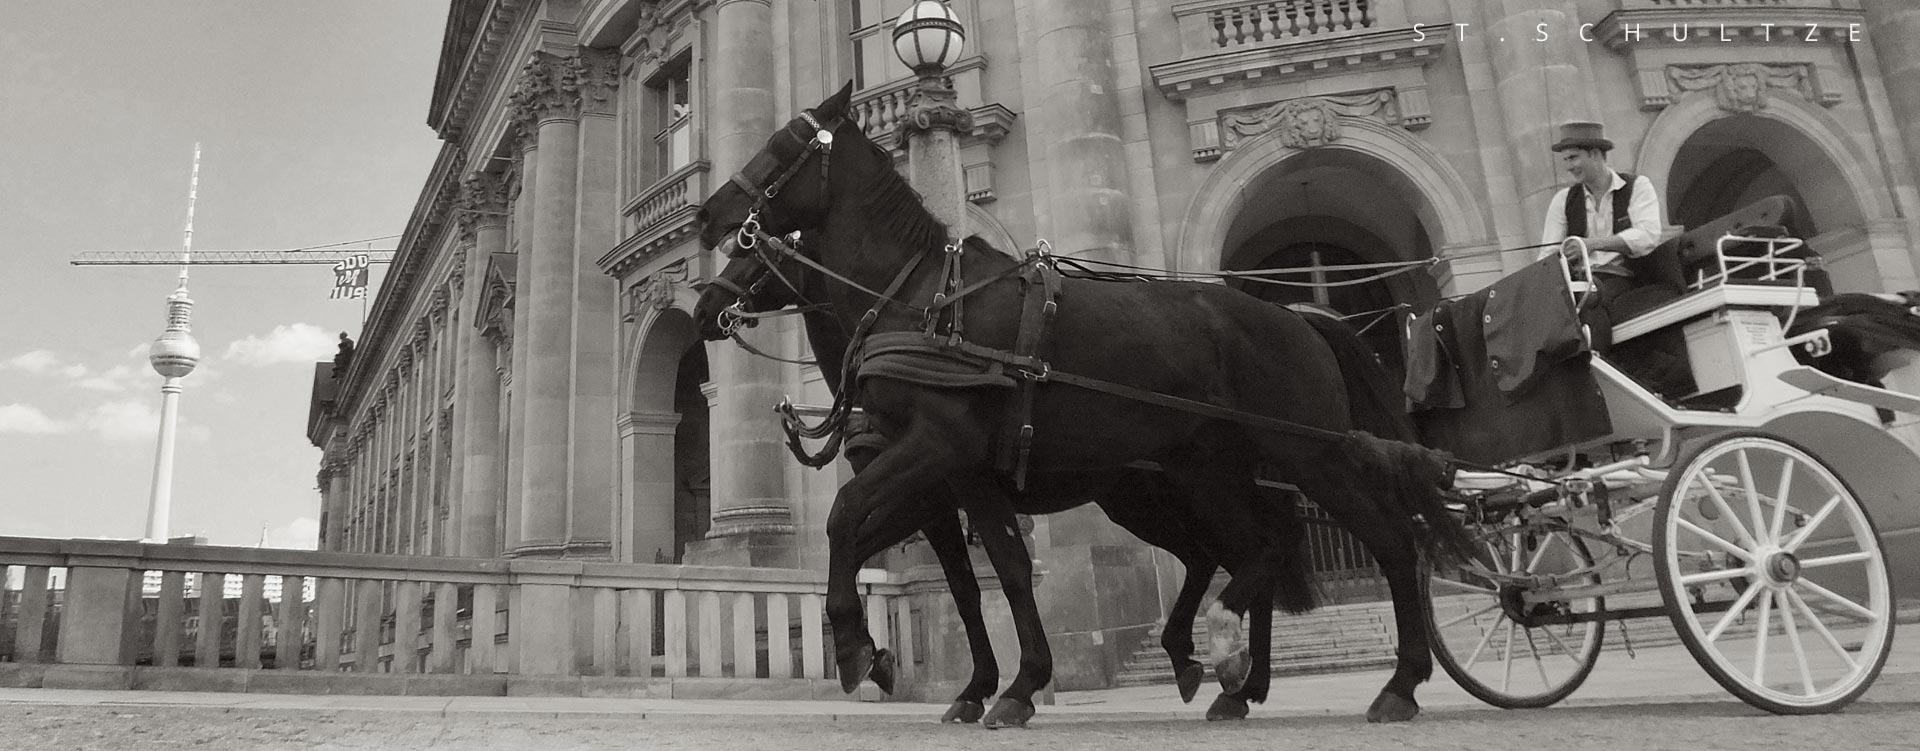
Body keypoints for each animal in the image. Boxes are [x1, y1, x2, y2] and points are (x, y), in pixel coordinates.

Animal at [693, 235, 1319, 723]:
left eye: (748, 251)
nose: (705, 306)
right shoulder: (932, 501)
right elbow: (938, 576)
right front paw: (901, 661)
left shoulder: (929, 489)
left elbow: (891, 547)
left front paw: (883, 655)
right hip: (1145, 502)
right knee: (1221, 556)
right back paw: (1226, 677)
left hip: (1173, 495)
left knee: (1244, 553)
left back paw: (1229, 672)